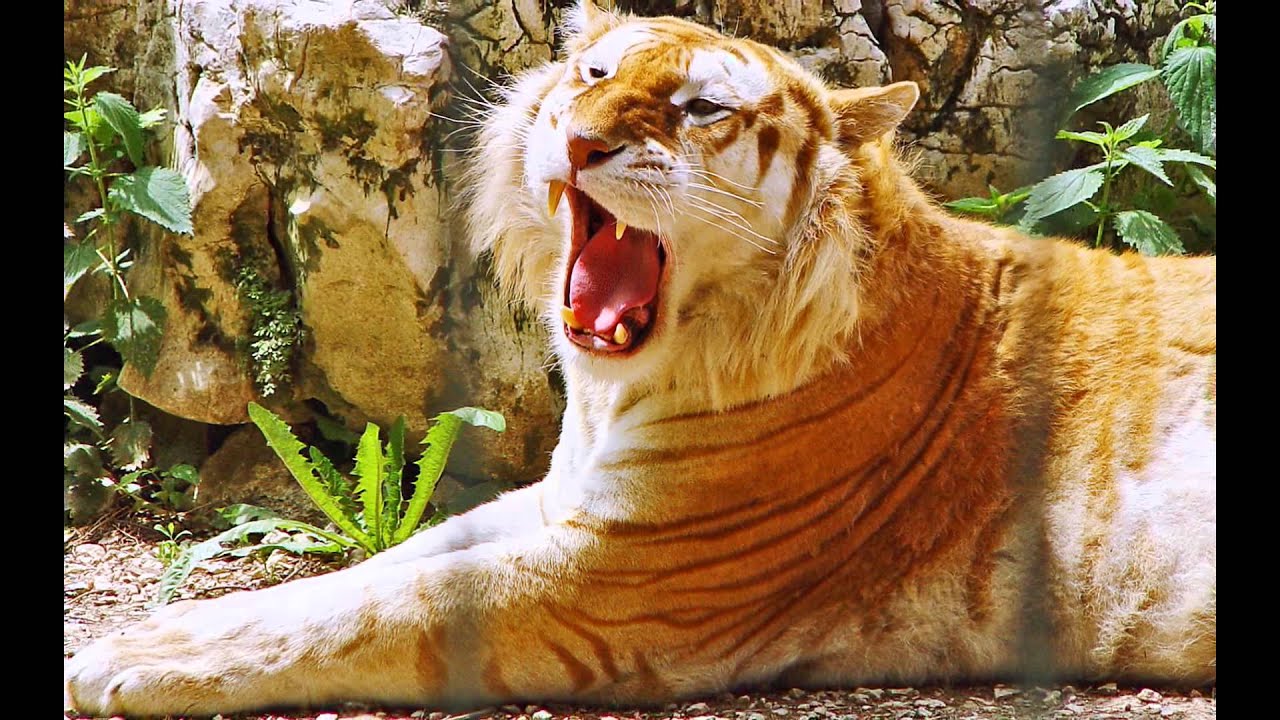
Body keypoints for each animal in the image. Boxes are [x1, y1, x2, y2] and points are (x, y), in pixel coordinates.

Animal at [64, 1, 1216, 715]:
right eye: (594, 72)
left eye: (702, 107)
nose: (580, 140)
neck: (617, 390)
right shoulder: (563, 505)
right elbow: (371, 571)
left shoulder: (623, 579)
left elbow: (378, 608)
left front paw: (127, 657)